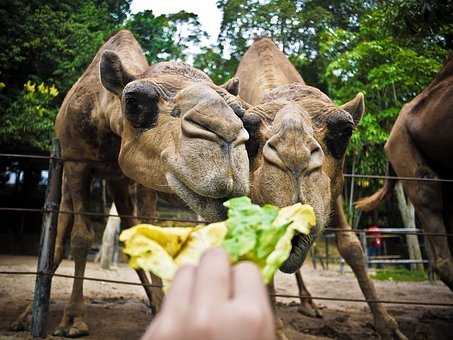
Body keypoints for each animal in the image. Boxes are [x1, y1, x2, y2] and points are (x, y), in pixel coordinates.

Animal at [11, 29, 251, 338]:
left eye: (239, 111)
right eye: (134, 101)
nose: (227, 136)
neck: (104, 114)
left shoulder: (144, 175)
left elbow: (149, 234)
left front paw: (161, 308)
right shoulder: (78, 163)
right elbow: (80, 238)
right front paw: (73, 320)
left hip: (119, 183)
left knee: (126, 229)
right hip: (66, 174)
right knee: (60, 235)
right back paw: (27, 317)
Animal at [235, 37, 404, 340]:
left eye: (344, 132)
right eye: (248, 132)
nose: (293, 154)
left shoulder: (334, 192)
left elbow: (351, 246)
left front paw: (388, 326)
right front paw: (274, 329)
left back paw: (309, 303)